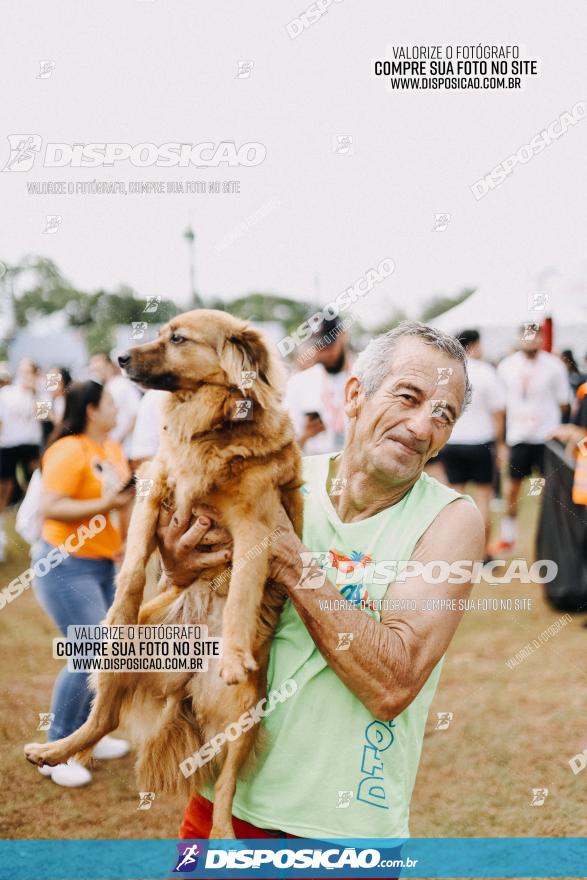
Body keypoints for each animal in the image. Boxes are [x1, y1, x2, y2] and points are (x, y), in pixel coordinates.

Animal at [24, 312, 304, 840]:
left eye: (177, 339)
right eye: (160, 331)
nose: (119, 358)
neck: (209, 425)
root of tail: (186, 684)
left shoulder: (256, 529)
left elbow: (241, 594)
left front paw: (234, 653)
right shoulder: (154, 491)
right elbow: (134, 567)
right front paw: (118, 609)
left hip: (242, 719)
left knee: (226, 792)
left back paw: (223, 838)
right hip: (119, 662)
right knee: (102, 718)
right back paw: (54, 751)